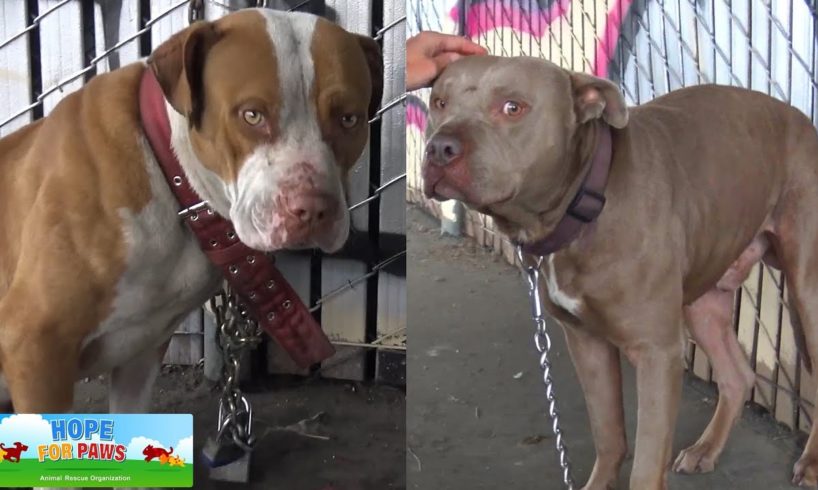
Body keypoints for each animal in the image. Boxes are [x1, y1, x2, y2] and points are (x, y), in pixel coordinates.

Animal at [0, 7, 380, 414]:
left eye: (349, 119)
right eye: (252, 115)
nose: (312, 209)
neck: (173, 180)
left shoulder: (143, 352)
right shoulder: (36, 344)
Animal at [420, 54, 818, 490]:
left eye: (512, 107)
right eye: (439, 102)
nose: (439, 148)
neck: (586, 205)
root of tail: (800, 117)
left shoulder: (657, 352)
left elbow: (646, 463)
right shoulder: (585, 341)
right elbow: (608, 433)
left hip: (807, 291)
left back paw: (810, 463)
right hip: (704, 293)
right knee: (737, 375)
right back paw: (705, 449)